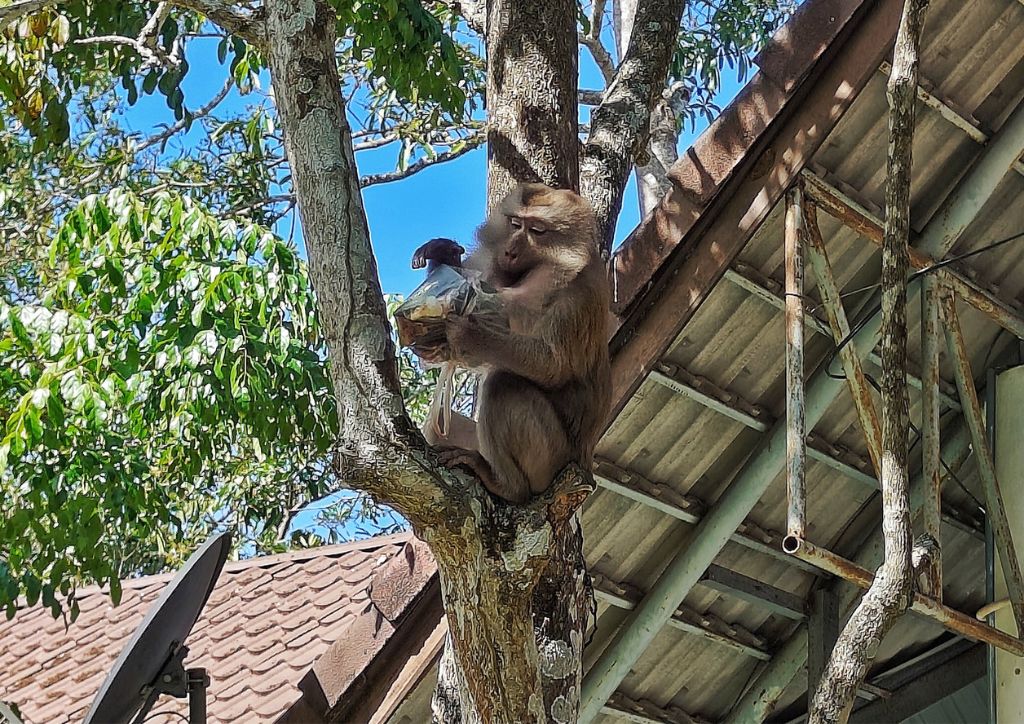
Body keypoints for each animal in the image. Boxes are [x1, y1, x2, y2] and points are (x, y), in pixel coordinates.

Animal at [410, 183, 611, 504]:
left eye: (537, 230)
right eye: (515, 224)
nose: (510, 250)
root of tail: (584, 465)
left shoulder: (577, 296)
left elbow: (553, 365)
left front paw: (470, 334)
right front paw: (442, 256)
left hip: (551, 461)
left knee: (503, 386)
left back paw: (507, 486)